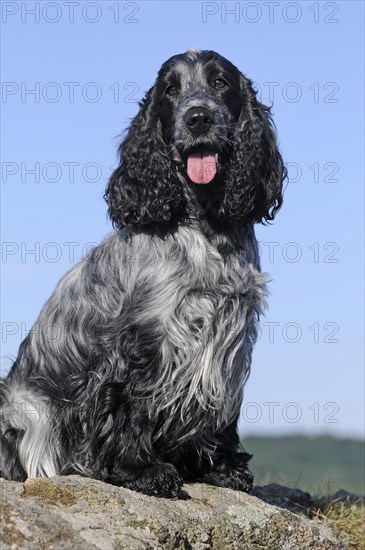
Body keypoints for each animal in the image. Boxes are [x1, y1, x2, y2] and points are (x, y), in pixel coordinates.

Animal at [0, 50, 284, 500]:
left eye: (220, 83)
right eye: (170, 90)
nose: (198, 118)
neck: (204, 226)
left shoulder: (231, 334)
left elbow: (221, 407)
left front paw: (223, 468)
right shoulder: (143, 339)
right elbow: (132, 404)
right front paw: (142, 470)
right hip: (27, 410)